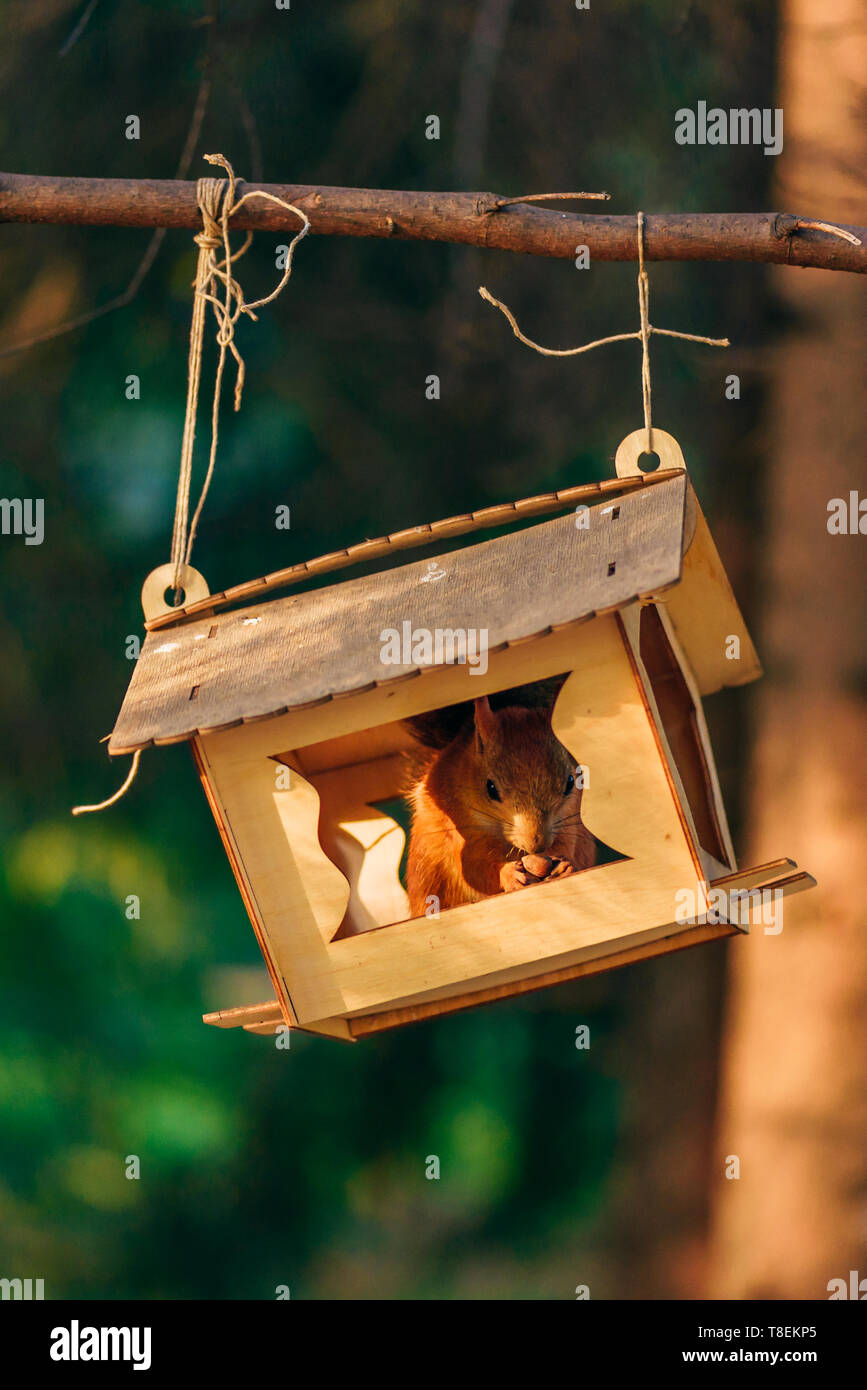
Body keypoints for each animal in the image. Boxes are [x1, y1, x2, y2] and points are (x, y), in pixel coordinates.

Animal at [404, 682, 596, 918]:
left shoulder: (570, 817)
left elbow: (568, 842)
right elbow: (476, 867)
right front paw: (508, 874)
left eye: (570, 782)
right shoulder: (459, 830)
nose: (537, 845)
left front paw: (566, 864)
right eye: (491, 788)